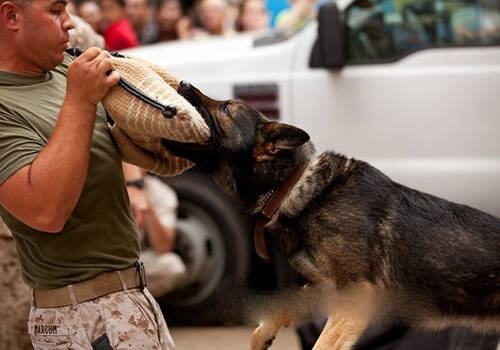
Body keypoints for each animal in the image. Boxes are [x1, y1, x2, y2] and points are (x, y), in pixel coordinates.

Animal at [164, 81, 500, 348]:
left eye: (225, 108)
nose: (181, 83)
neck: (289, 186)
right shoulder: (325, 288)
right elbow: (286, 302)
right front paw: (262, 335)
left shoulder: (357, 296)